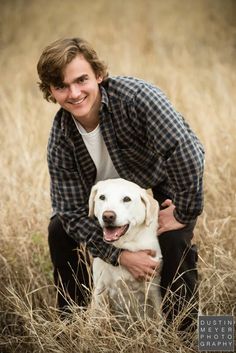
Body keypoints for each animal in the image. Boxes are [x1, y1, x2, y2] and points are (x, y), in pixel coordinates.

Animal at [88, 177, 162, 318]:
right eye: (102, 197)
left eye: (127, 199)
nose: (108, 216)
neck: (126, 244)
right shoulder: (100, 291)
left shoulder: (154, 292)